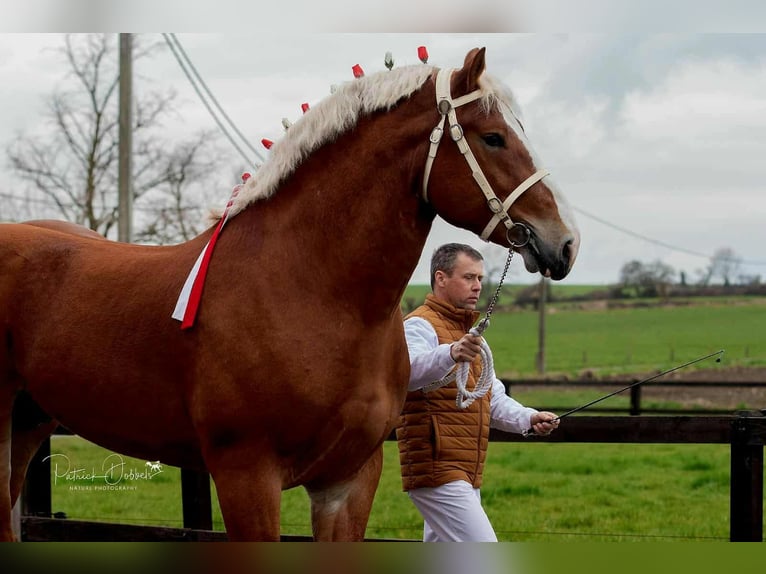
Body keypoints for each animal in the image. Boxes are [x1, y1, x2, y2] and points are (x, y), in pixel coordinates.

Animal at [0, 47, 579, 541]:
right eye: (494, 137)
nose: (566, 242)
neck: (312, 290)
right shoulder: (247, 475)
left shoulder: (349, 480)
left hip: (28, 423)